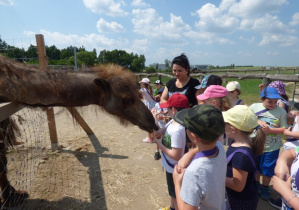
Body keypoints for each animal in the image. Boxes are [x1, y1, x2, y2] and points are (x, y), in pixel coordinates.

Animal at [0, 54, 159, 207]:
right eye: (126, 99)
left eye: (139, 94)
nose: (152, 122)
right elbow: (3, 163)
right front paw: (11, 197)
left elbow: (4, 162)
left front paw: (13, 195)